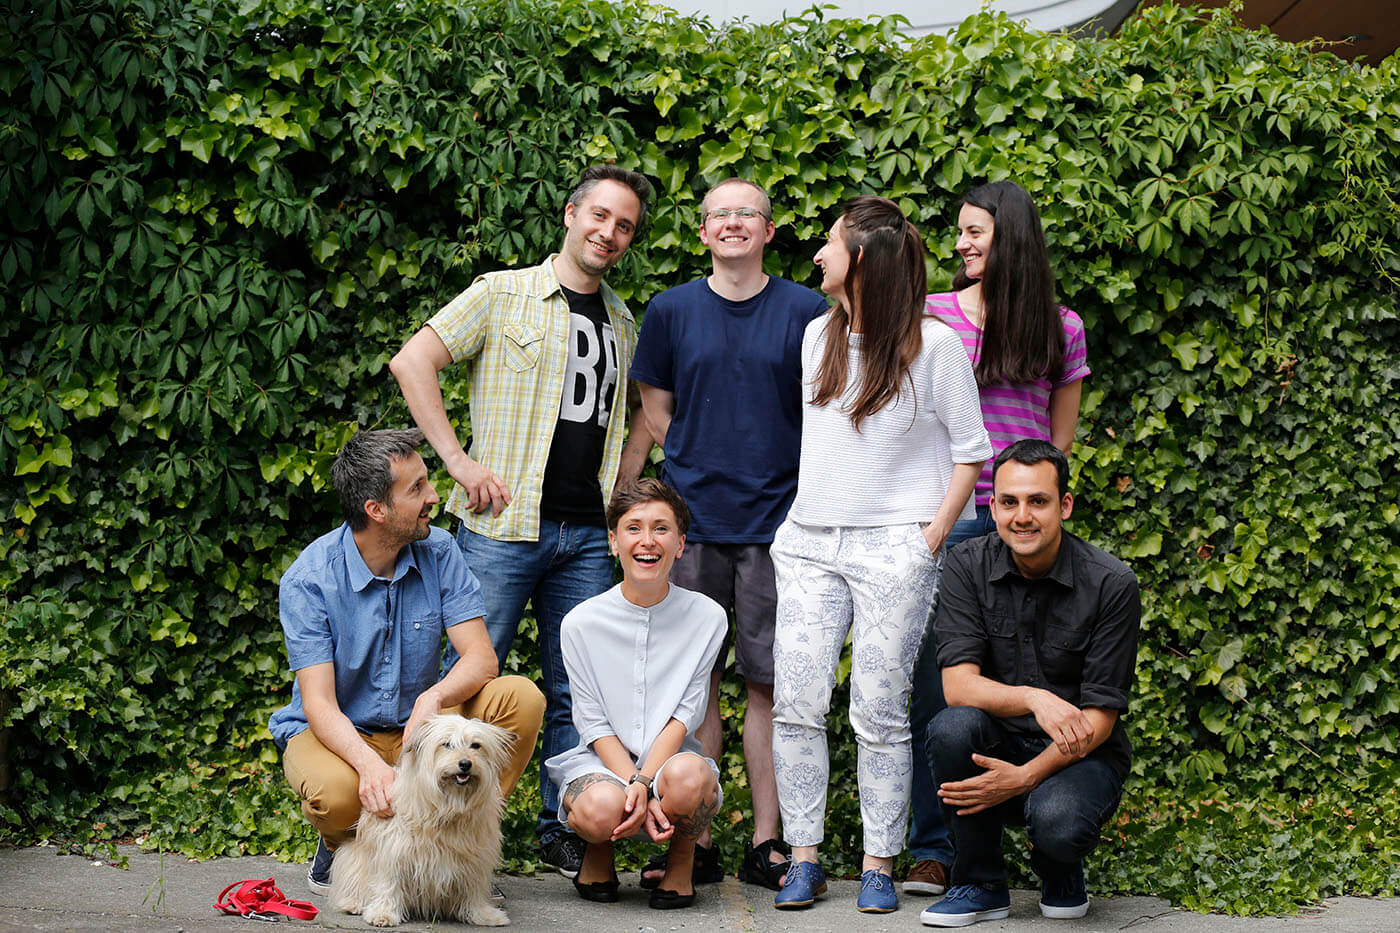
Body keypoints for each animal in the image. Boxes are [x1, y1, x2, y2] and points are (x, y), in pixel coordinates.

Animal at [330, 711, 518, 924]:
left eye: (476, 745)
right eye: (446, 744)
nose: (465, 764)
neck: (450, 805)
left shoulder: (476, 857)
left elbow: (474, 888)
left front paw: (483, 914)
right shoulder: (395, 850)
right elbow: (389, 883)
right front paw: (383, 913)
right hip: (353, 857)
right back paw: (353, 902)